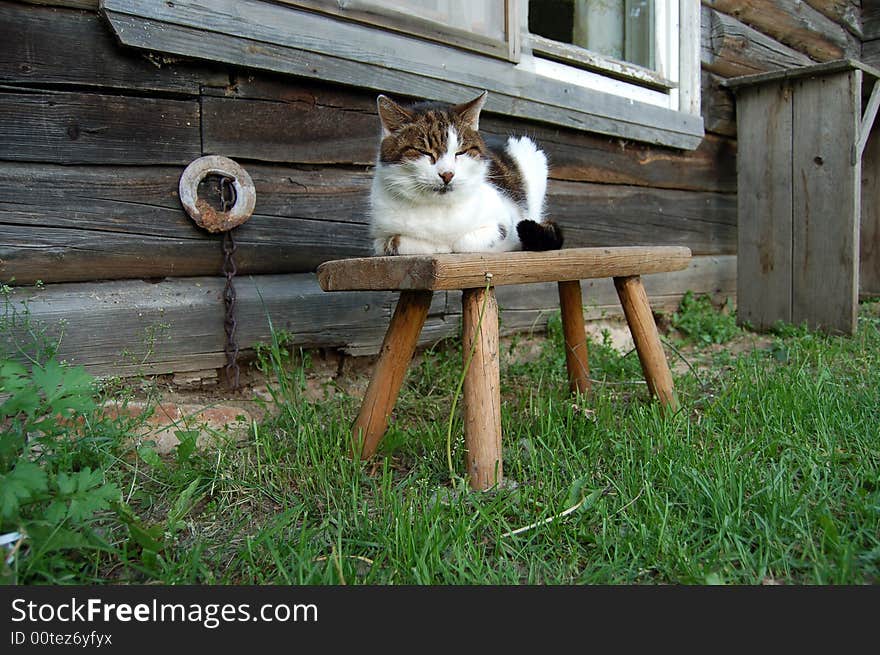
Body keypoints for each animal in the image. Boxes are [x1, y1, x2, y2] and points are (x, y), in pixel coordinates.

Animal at [366, 91, 560, 255]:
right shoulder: (379, 238)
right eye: (424, 152)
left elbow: (465, 243)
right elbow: (394, 242)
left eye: (460, 152)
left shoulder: (506, 223)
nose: (447, 174)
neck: (439, 210)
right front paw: (437, 246)